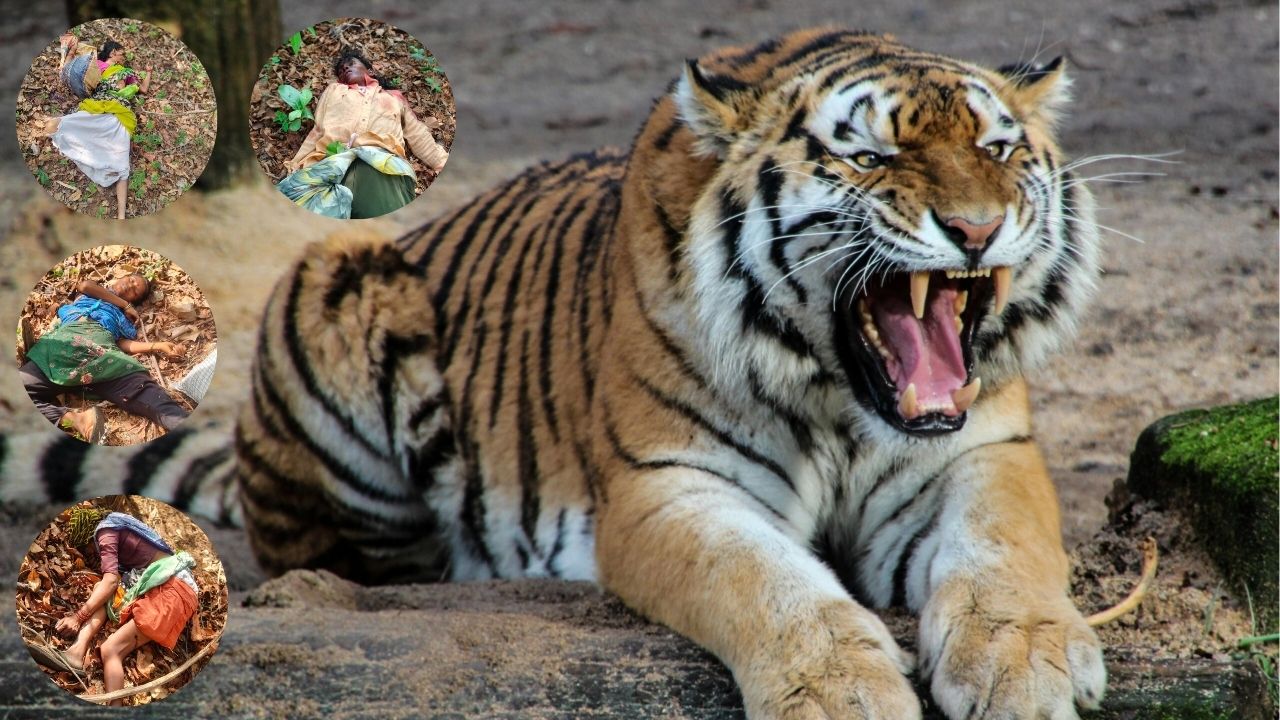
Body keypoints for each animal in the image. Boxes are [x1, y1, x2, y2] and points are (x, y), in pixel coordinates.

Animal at [1, 28, 1108, 719]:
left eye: (998, 149)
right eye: (872, 158)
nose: (976, 228)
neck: (841, 394)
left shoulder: (982, 450)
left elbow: (1006, 552)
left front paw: (1028, 665)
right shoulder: (668, 487)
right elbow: (770, 585)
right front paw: (845, 695)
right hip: (337, 282)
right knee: (337, 551)